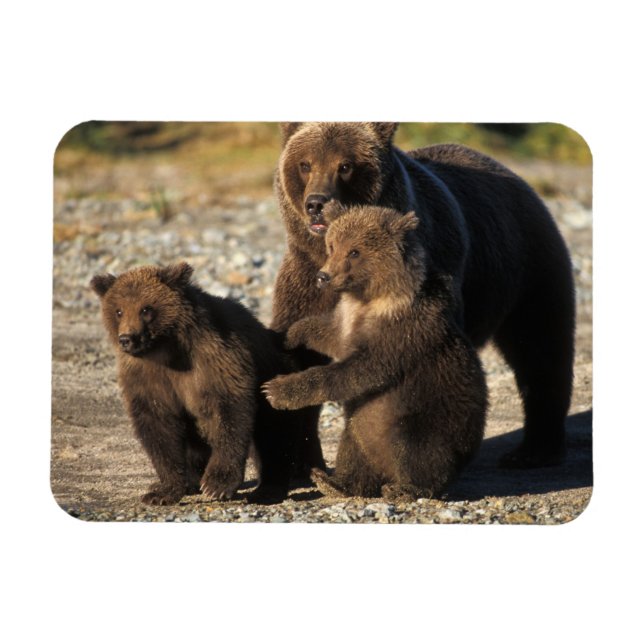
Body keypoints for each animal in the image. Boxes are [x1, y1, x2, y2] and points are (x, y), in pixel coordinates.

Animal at [91, 261, 303, 505]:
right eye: (118, 310)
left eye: (146, 309)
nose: (127, 339)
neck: (167, 350)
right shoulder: (147, 377)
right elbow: (158, 425)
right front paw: (162, 491)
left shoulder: (215, 359)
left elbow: (230, 412)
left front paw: (216, 485)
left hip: (273, 378)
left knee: (273, 436)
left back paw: (267, 489)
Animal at [263, 205, 487, 499]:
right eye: (332, 245)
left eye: (354, 251)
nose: (323, 276)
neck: (371, 299)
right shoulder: (348, 320)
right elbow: (327, 333)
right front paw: (288, 334)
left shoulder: (401, 334)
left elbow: (358, 371)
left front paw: (277, 390)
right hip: (364, 428)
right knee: (354, 444)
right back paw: (334, 482)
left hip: (430, 421)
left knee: (414, 449)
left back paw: (406, 488)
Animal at [272, 122, 575, 468]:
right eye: (305, 164)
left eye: (345, 166)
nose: (316, 203)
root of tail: (522, 181)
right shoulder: (305, 278)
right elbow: (298, 344)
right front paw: (299, 457)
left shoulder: (429, 279)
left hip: (529, 268)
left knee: (540, 348)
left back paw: (534, 450)